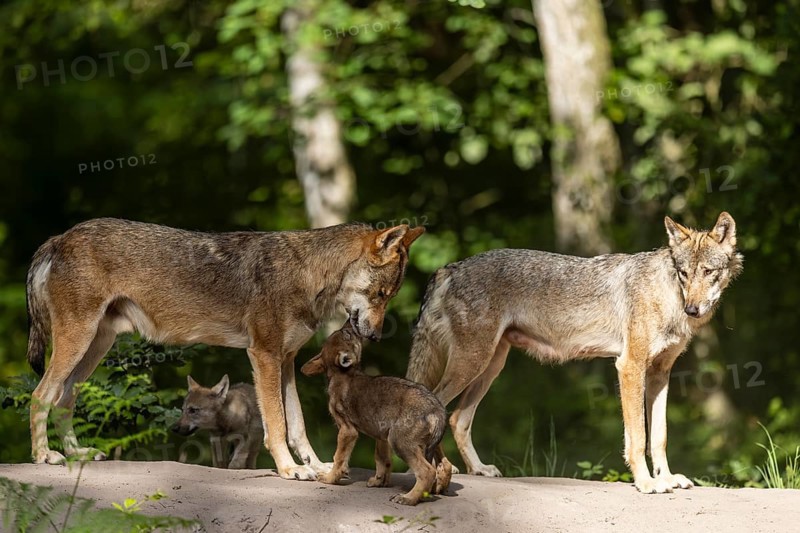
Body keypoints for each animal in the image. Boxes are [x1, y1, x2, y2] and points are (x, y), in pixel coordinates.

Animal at [25, 217, 424, 480]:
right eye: (380, 295)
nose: (375, 336)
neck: (307, 275)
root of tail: (58, 237)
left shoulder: (287, 361)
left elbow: (297, 424)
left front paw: (317, 466)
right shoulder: (263, 356)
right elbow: (277, 424)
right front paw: (289, 469)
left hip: (95, 347)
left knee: (63, 399)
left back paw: (77, 454)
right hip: (78, 341)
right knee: (41, 395)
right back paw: (45, 457)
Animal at [301, 322, 452, 505]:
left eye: (347, 333)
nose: (349, 323)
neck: (341, 375)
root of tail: (437, 408)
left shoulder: (348, 430)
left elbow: (339, 458)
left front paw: (330, 479)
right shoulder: (381, 434)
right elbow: (382, 460)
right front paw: (379, 482)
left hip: (399, 442)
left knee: (427, 471)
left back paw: (407, 498)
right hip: (426, 443)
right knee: (445, 465)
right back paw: (436, 489)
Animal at [407, 212, 742, 493]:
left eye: (708, 272)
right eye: (684, 273)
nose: (692, 309)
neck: (669, 296)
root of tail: (449, 267)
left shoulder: (660, 374)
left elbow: (659, 436)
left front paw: (668, 478)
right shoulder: (629, 367)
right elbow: (637, 437)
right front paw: (646, 483)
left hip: (491, 366)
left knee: (458, 418)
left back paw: (477, 469)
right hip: (472, 363)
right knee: (438, 408)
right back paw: (440, 470)